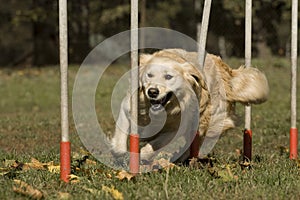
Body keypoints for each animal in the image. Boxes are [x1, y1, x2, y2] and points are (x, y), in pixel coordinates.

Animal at [109, 49, 268, 163]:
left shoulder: (175, 129)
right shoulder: (128, 107)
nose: (152, 92)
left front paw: (144, 155)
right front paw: (119, 152)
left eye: (168, 77)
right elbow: (121, 135)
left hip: (207, 123)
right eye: (149, 75)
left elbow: (158, 143)